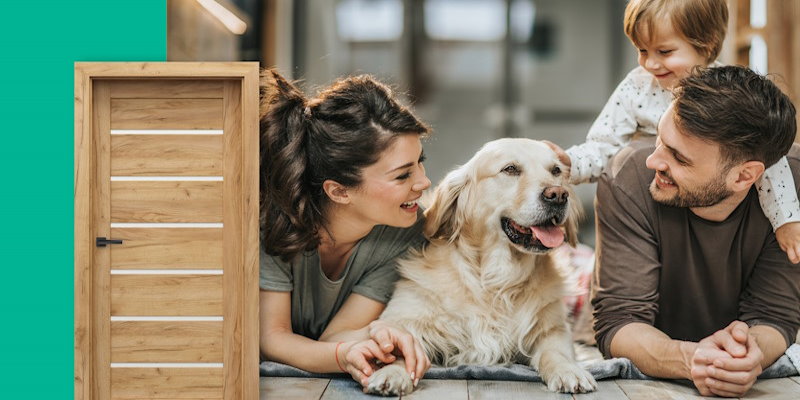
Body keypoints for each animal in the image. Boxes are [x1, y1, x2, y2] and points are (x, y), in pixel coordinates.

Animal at [366, 139, 596, 396]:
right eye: (510, 169)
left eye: (556, 171)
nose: (558, 195)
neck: (496, 279)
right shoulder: (403, 317)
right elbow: (400, 345)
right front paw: (391, 372)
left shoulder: (553, 328)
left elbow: (555, 352)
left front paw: (569, 370)